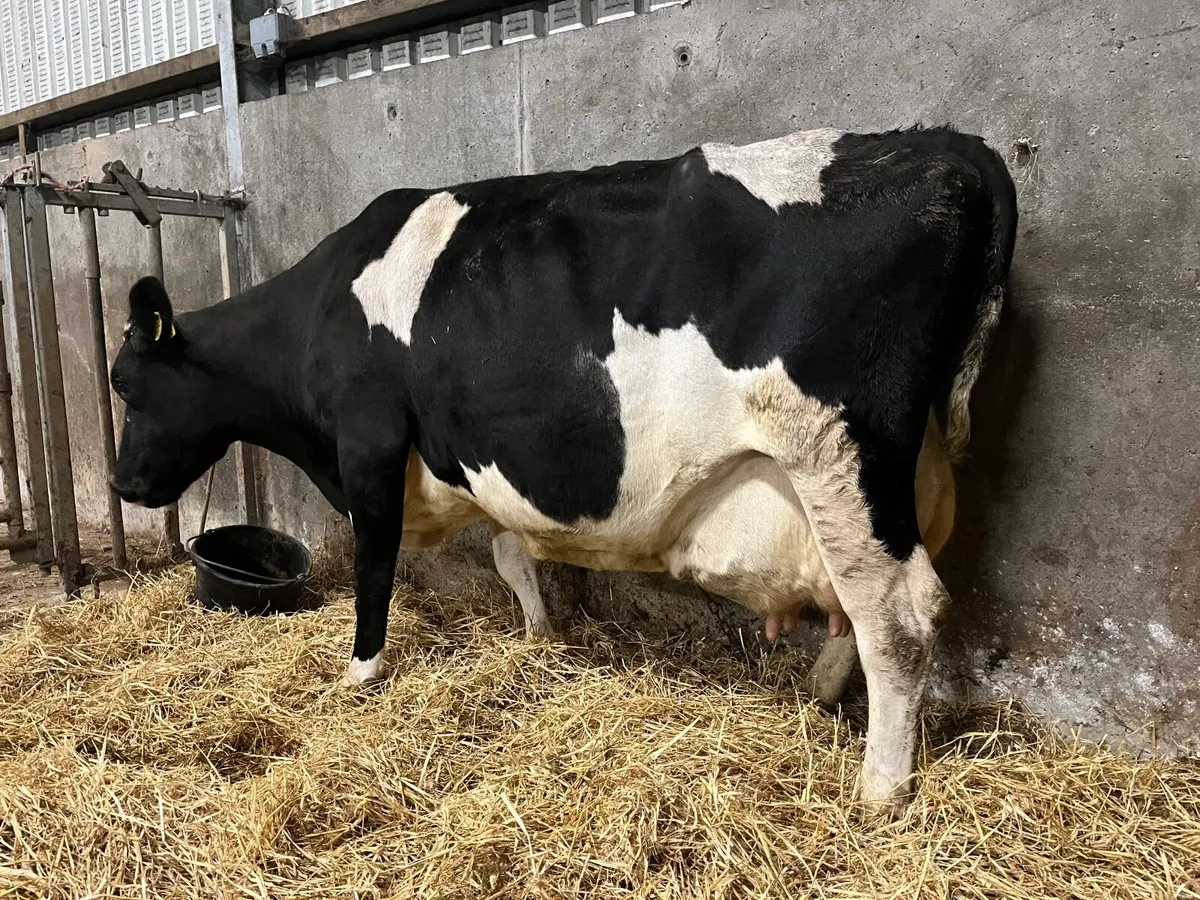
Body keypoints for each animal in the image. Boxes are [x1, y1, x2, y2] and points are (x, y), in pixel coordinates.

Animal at [110, 125, 1017, 814]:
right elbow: (511, 551)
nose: (122, 485)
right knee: (873, 599)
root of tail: (947, 147)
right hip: (909, 473)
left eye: (127, 384)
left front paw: (360, 673)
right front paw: (541, 635)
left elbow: (374, 565)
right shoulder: (476, 465)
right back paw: (829, 694)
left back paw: (881, 790)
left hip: (834, 452)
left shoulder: (368, 442)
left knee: (898, 616)